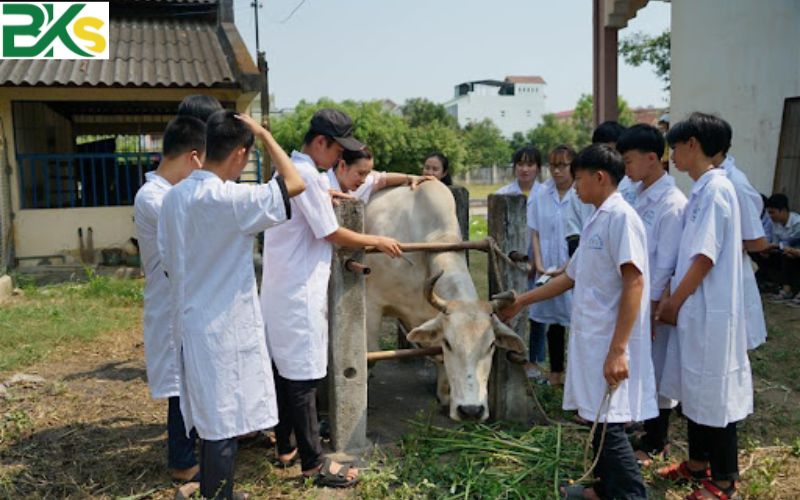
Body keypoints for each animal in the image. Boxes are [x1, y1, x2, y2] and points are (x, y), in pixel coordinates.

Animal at [362, 182, 524, 420]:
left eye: (492, 344)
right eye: (449, 343)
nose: (471, 410)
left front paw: (445, 396)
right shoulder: (372, 304)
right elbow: (370, 355)